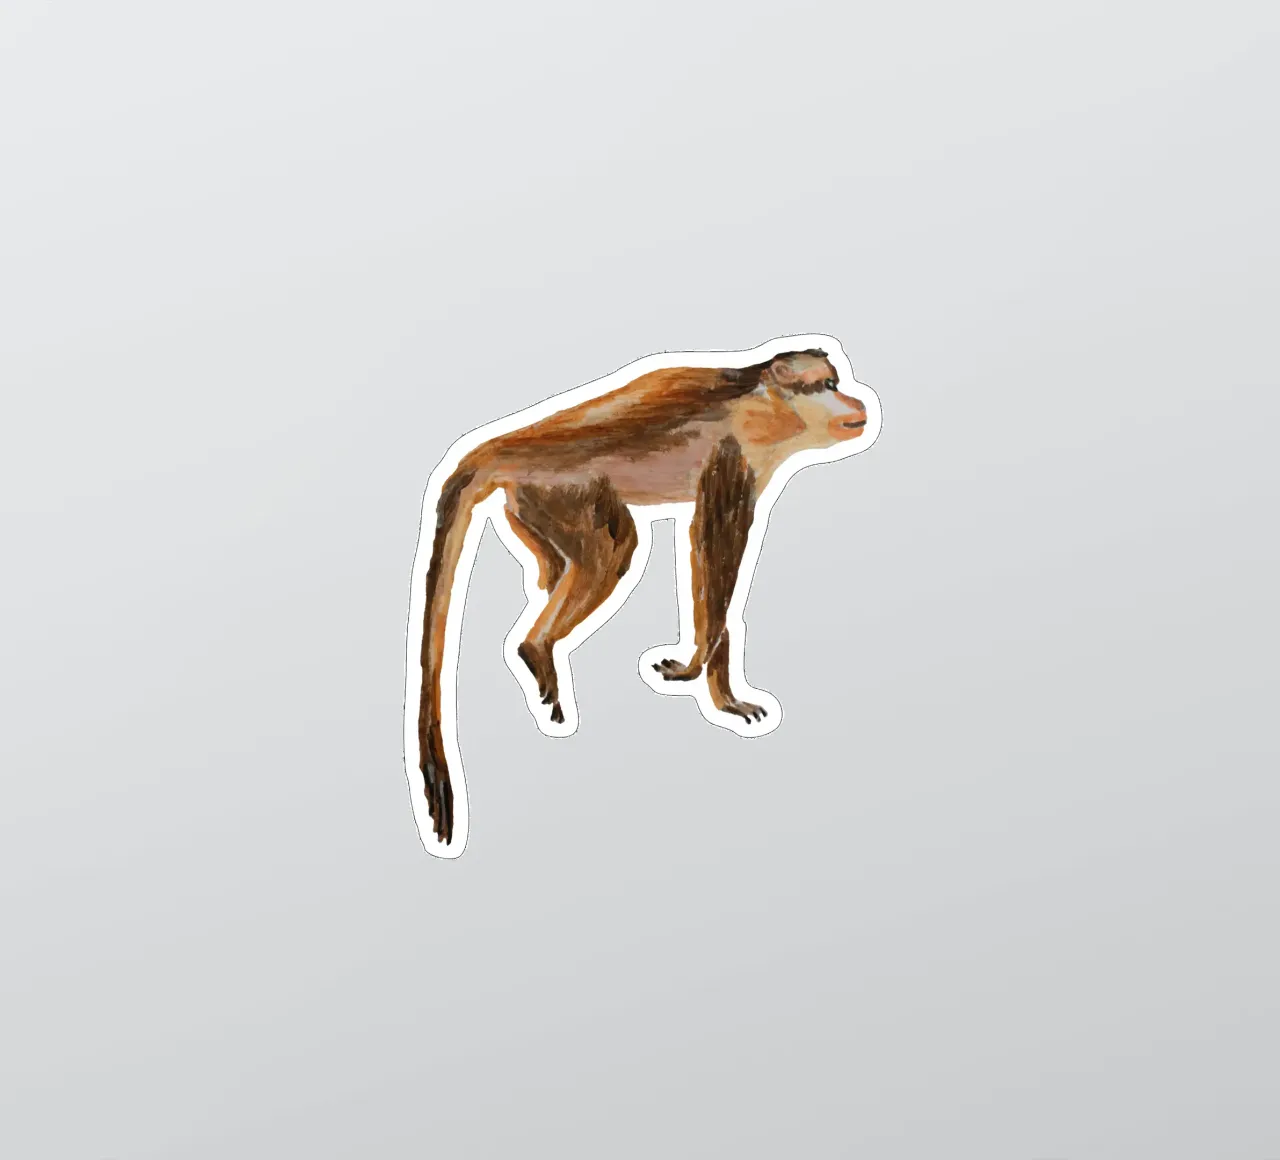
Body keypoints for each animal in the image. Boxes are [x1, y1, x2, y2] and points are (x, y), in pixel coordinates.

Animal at [404, 336, 881, 855]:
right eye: (827, 386)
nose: (856, 403)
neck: (760, 398)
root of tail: (505, 444)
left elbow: (710, 563)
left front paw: (718, 690)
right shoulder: (733, 454)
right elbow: (714, 552)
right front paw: (695, 669)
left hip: (531, 500)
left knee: (561, 565)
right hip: (561, 484)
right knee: (615, 548)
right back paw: (536, 647)